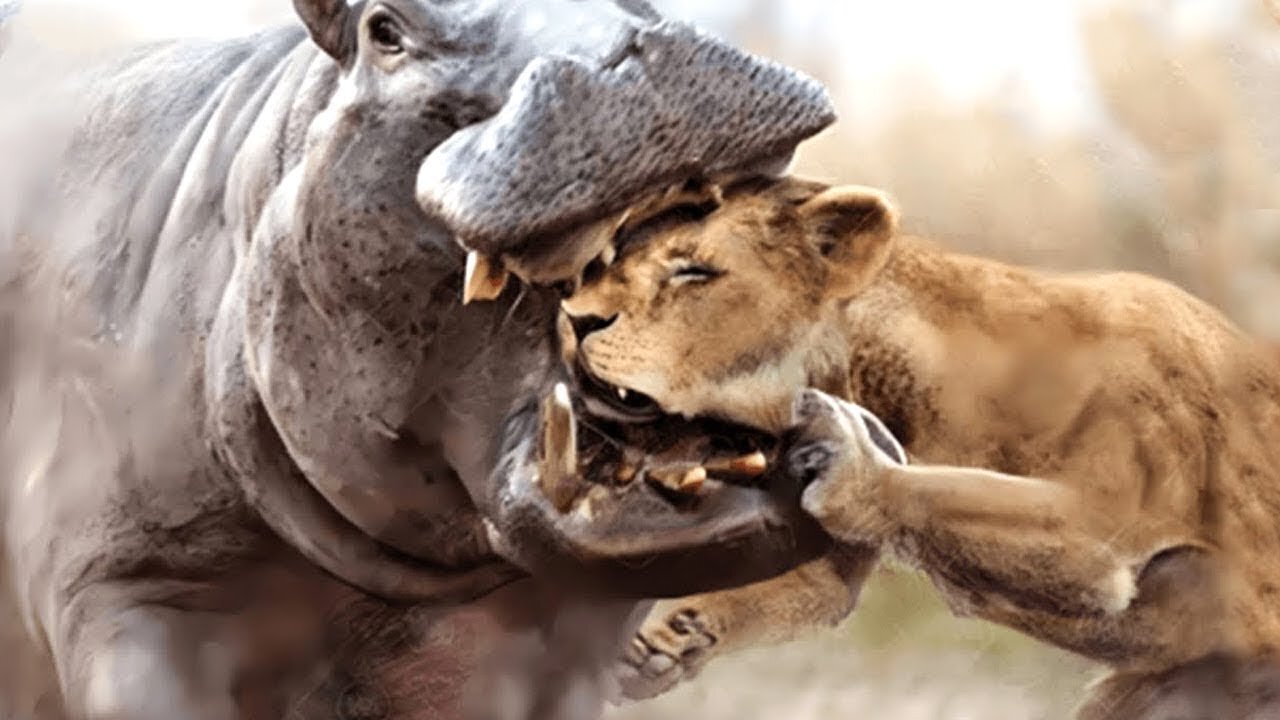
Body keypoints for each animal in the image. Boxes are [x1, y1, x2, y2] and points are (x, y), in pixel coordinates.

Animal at [555, 175, 1280, 717]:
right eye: (611, 261)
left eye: (694, 272)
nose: (574, 318)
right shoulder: (834, 564)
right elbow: (809, 589)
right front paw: (663, 642)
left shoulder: (1103, 531)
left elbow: (942, 490)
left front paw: (855, 464)